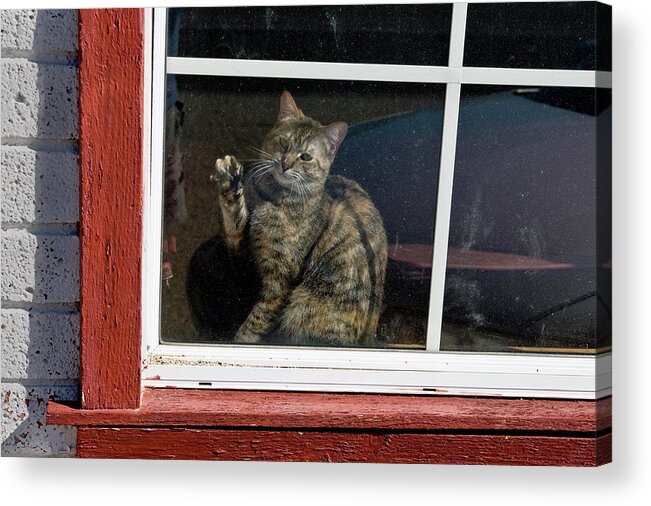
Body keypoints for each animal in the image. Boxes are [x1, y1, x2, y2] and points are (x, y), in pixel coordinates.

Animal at [213, 91, 388, 346]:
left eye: (306, 157)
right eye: (284, 143)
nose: (285, 164)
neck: (272, 197)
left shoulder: (280, 282)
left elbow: (254, 324)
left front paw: (240, 339)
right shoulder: (243, 251)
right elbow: (233, 222)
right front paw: (229, 180)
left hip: (305, 304)